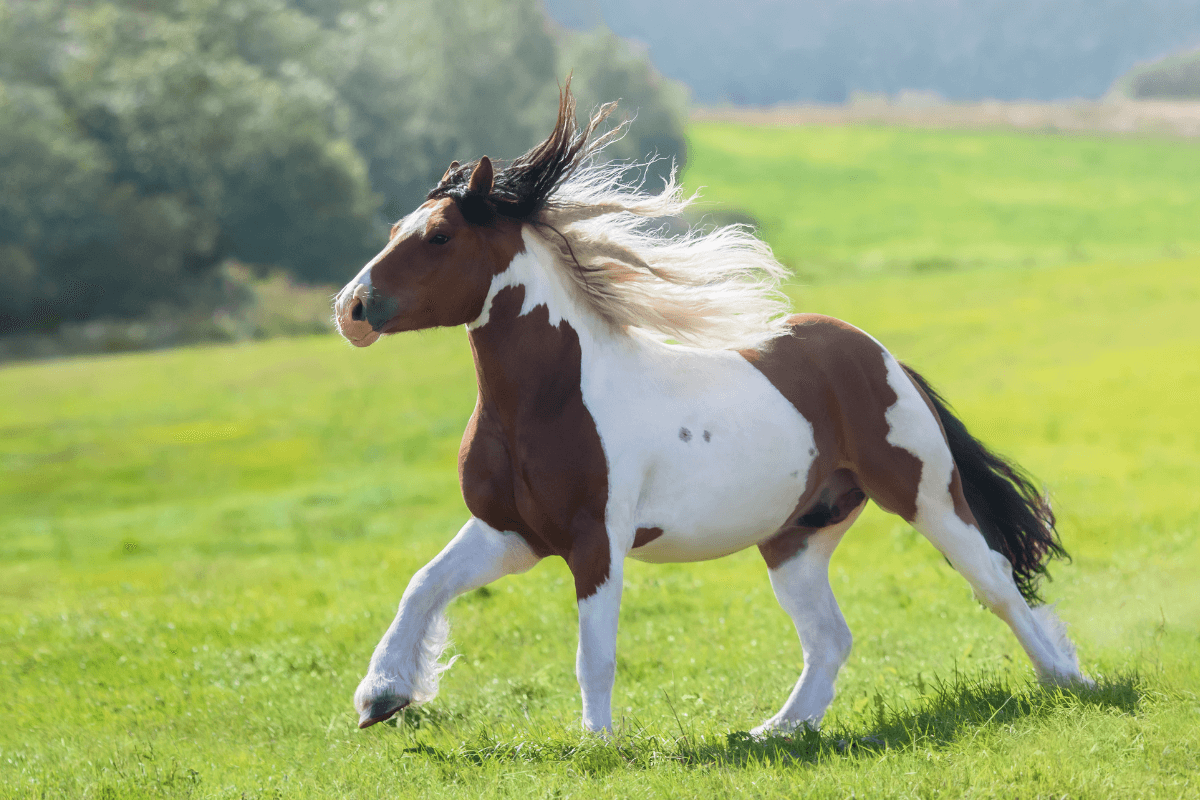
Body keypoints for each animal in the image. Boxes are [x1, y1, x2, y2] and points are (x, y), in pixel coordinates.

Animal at [331, 89, 1089, 738]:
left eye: (438, 238)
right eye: (397, 228)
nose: (351, 309)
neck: (547, 401)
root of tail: (880, 356)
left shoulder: (595, 540)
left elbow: (593, 652)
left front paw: (598, 743)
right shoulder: (510, 533)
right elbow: (423, 585)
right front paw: (382, 697)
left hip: (926, 496)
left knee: (997, 582)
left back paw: (1070, 680)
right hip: (796, 536)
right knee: (831, 637)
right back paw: (775, 730)